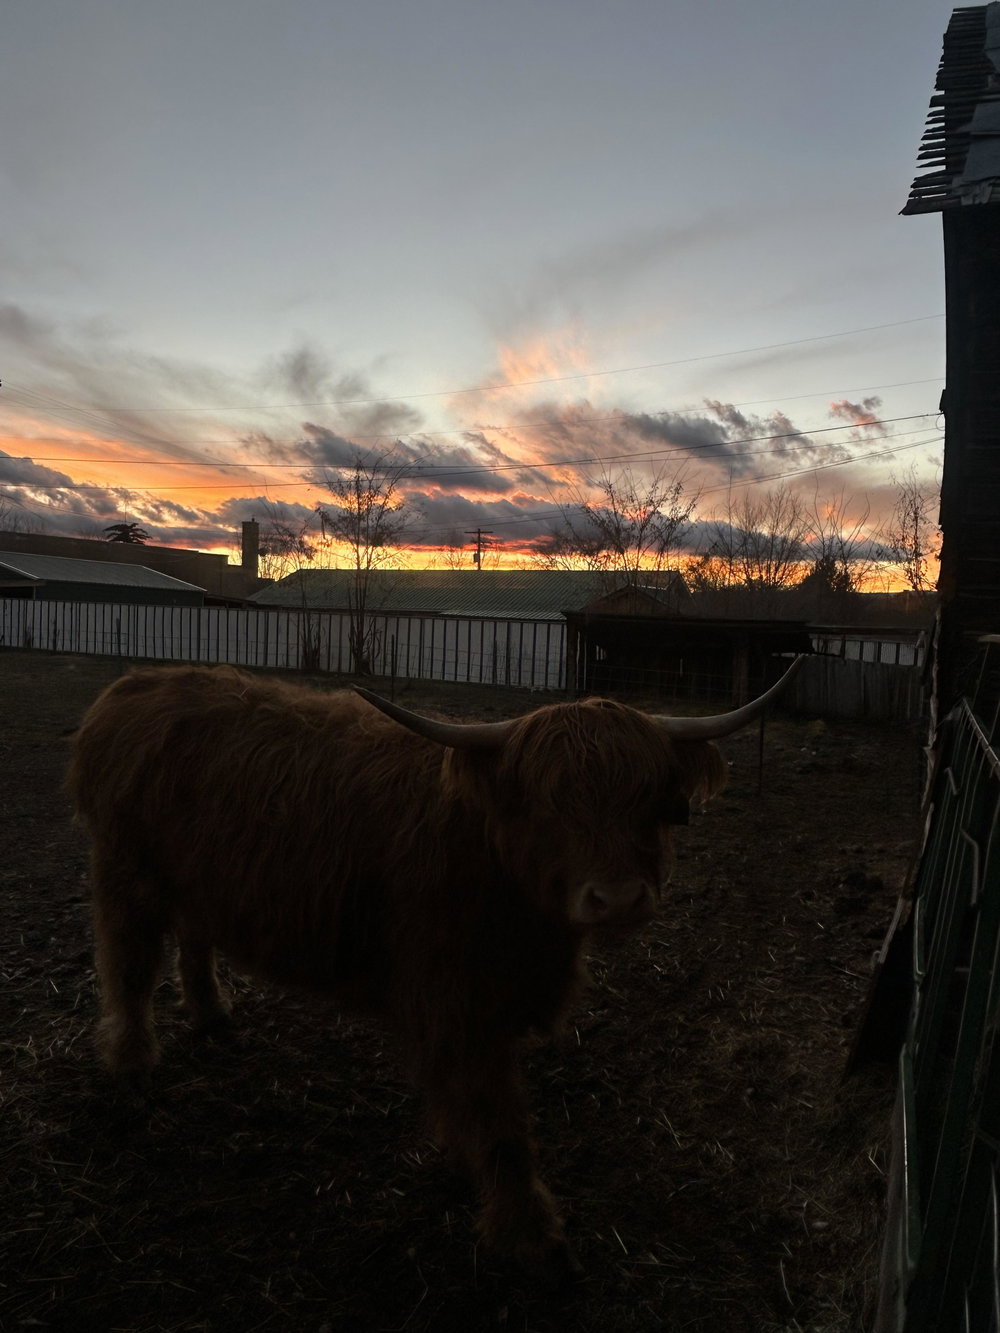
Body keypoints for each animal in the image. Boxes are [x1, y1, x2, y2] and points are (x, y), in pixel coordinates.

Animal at [68, 658, 802, 1275]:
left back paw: (213, 1013)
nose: (618, 898)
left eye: (651, 796)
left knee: (193, 939)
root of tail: (133, 686)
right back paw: (131, 1062)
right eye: (550, 803)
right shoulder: (458, 1003)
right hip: (127, 874)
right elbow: (499, 1121)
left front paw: (459, 1159)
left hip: (198, 882)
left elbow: (463, 1102)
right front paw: (527, 1232)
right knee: (127, 965)